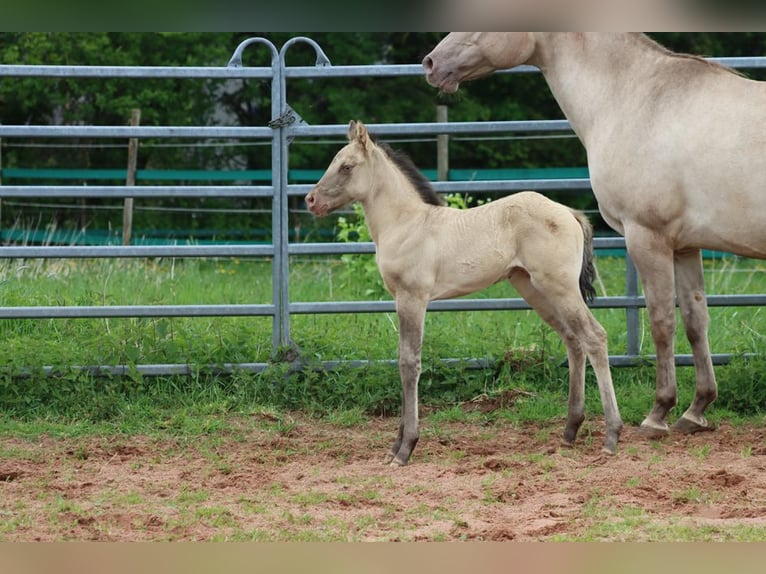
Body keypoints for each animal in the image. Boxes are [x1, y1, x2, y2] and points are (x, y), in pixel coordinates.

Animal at [305, 120, 622, 466]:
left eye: (347, 166)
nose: (310, 200)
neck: (407, 224)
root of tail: (569, 213)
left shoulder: (413, 297)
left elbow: (409, 362)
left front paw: (405, 448)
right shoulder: (401, 299)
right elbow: (403, 358)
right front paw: (395, 445)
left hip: (560, 287)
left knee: (594, 336)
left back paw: (611, 435)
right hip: (534, 289)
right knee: (573, 341)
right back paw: (569, 431)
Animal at [423, 33, 766, 438]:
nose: (431, 63)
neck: (639, 97)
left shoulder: (647, 238)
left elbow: (661, 321)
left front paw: (658, 413)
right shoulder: (685, 247)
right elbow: (696, 322)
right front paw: (696, 410)